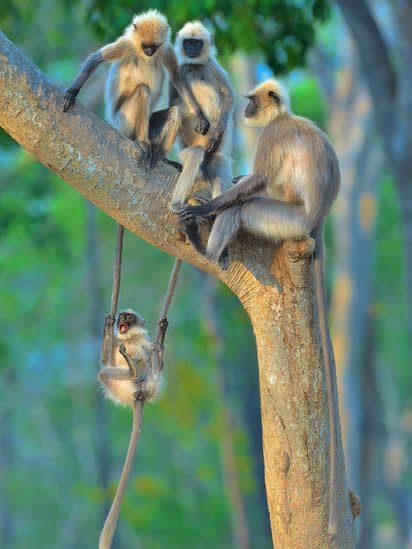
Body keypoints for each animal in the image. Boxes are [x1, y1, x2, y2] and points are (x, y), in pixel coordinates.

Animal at [61, 9, 208, 167]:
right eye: (145, 46)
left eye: (154, 47)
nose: (149, 52)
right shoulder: (126, 44)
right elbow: (95, 59)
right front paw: (71, 93)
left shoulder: (166, 48)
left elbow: (176, 77)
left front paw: (201, 116)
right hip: (123, 123)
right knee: (143, 90)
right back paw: (143, 141)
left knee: (175, 112)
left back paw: (162, 157)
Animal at [97, 308, 167, 548]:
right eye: (122, 317)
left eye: (129, 317)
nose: (121, 320)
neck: (130, 339)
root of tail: (138, 396)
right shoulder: (118, 342)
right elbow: (104, 360)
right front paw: (107, 325)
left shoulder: (144, 342)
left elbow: (159, 363)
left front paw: (161, 334)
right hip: (121, 388)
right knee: (104, 372)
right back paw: (130, 369)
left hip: (150, 385)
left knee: (151, 368)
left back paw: (136, 365)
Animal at [169, 20, 235, 212]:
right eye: (188, 43)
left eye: (197, 43)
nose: (191, 49)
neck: (195, 65)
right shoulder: (181, 68)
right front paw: (200, 118)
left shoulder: (211, 65)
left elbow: (229, 96)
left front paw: (216, 133)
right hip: (190, 150)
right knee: (194, 154)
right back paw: (176, 204)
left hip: (214, 154)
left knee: (218, 166)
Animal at [181, 79, 344, 536]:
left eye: (253, 101)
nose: (248, 109)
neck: (284, 117)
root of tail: (316, 224)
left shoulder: (272, 137)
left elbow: (256, 182)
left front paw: (206, 208)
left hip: (287, 222)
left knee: (246, 207)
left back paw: (205, 246)